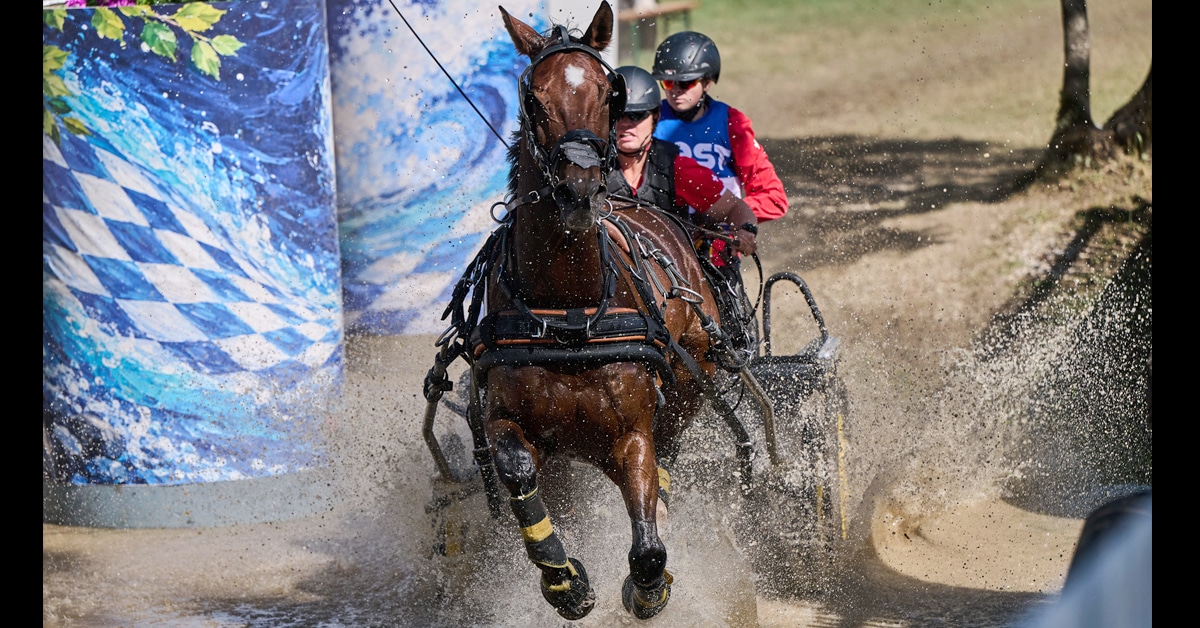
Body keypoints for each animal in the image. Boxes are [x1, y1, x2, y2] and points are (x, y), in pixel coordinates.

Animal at [434, 3, 733, 619]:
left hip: (690, 385)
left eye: (606, 90)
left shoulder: (634, 431)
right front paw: (565, 580)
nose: (577, 186)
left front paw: (647, 590)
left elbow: (648, 545)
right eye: (533, 97)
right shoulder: (507, 422)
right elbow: (518, 472)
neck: (569, 312)